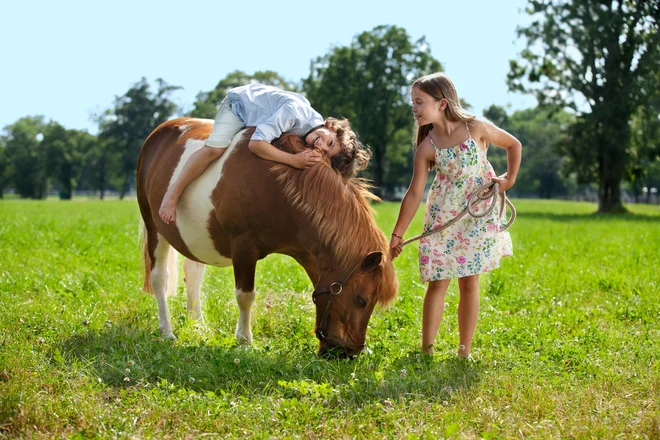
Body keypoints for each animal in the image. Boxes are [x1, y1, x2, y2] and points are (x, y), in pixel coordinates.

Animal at [137, 117, 400, 358]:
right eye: (362, 300)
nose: (348, 353)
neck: (277, 183)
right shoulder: (243, 247)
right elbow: (245, 296)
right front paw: (244, 341)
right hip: (153, 226)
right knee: (160, 278)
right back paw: (166, 331)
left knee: (193, 274)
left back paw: (198, 325)